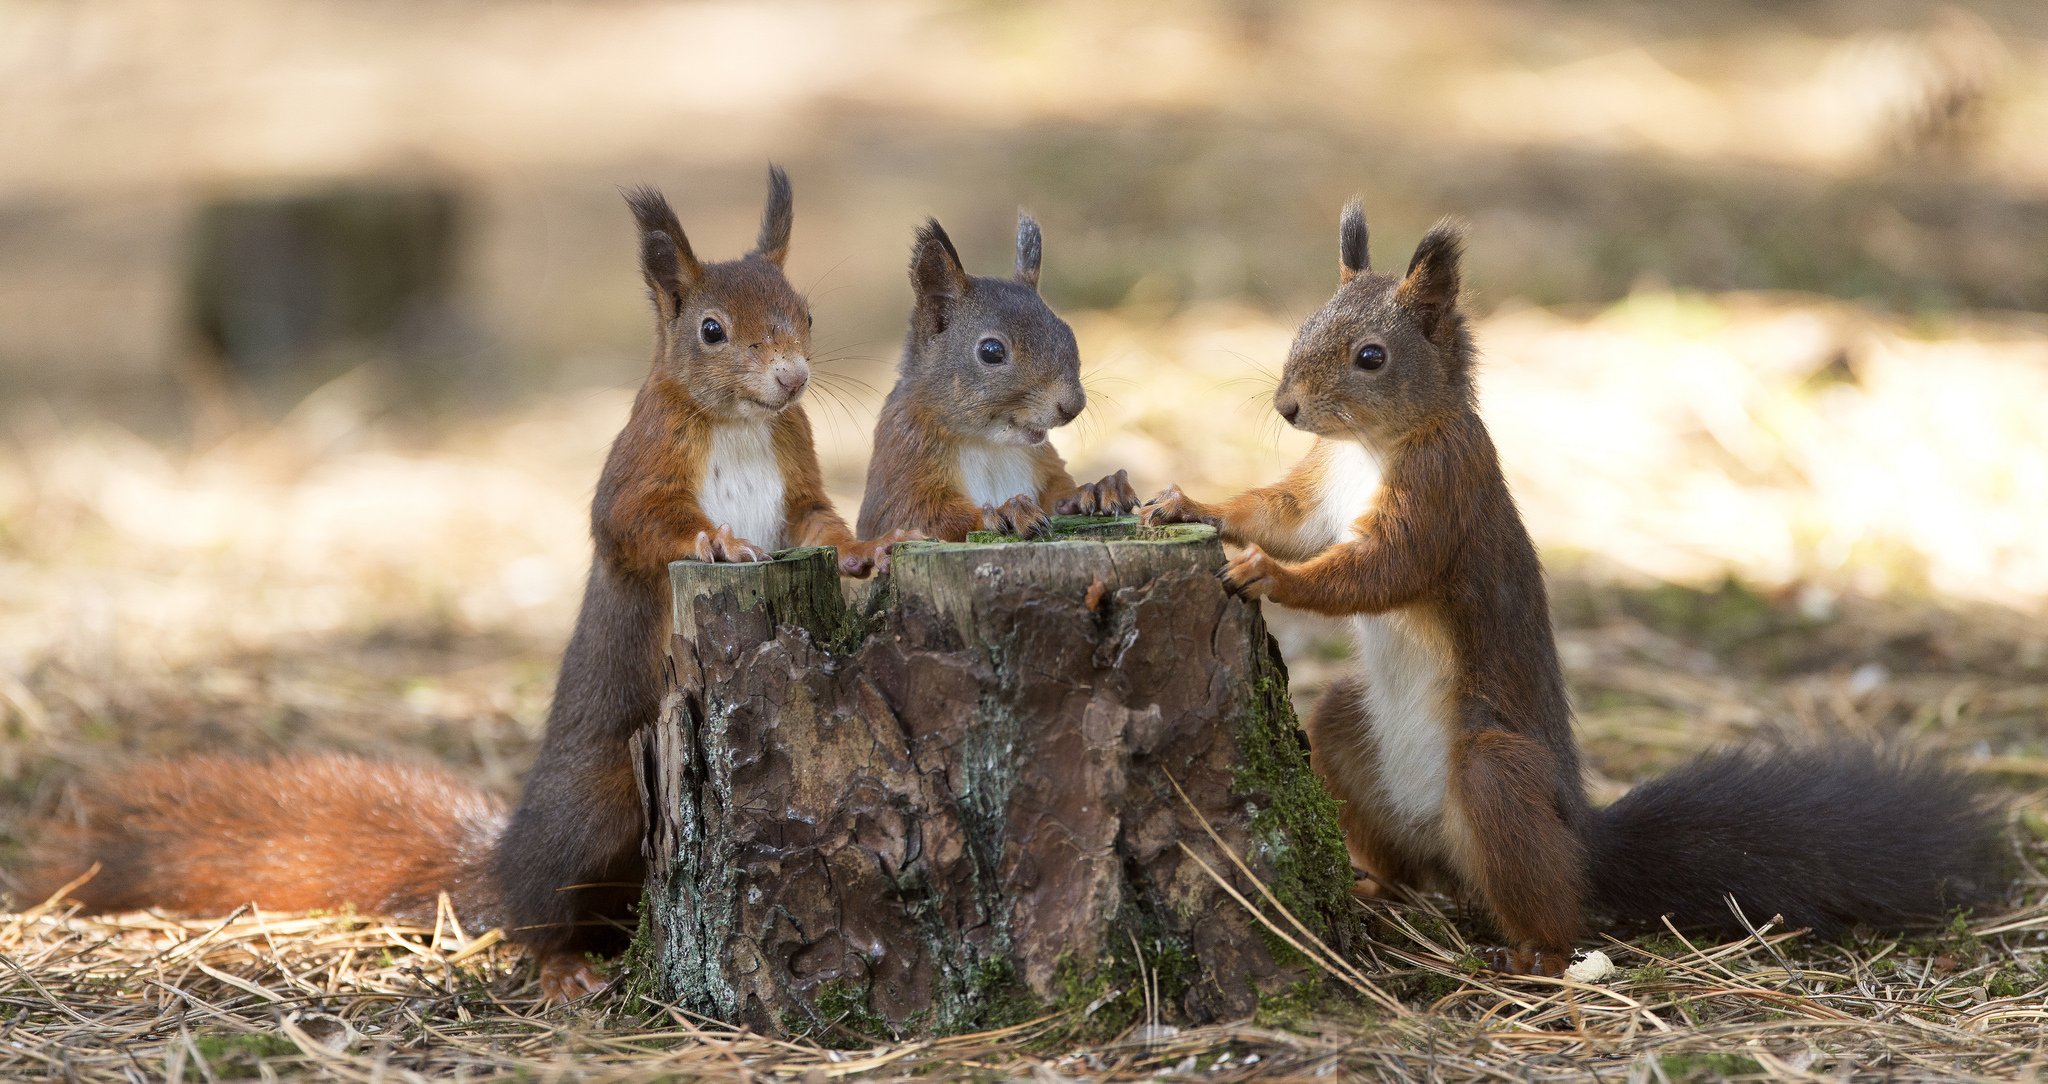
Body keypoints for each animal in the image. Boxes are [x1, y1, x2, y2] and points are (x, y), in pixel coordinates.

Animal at [16, 168, 907, 1002]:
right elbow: (636, 526)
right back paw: (563, 968)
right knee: (536, 916)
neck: (741, 425)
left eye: (806, 314)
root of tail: (502, 858)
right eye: (712, 330)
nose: (792, 379)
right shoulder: (637, 469)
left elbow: (819, 526)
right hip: (594, 811)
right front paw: (717, 541)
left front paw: (869, 550)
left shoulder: (796, 477)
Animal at [857, 214, 1136, 541]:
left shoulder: (1043, 462)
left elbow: (1059, 496)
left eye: (1068, 333)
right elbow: (917, 519)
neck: (988, 444)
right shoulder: (902, 459)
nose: (1072, 406)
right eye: (991, 351)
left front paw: (1097, 490)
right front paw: (1006, 512)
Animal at [1141, 201, 2006, 973]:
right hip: (1350, 731)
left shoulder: (1443, 496)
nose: (1287, 406)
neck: (1371, 448)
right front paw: (1190, 505)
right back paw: (1373, 888)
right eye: (1302, 327)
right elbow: (1278, 514)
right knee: (1404, 854)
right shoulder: (1319, 490)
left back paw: (1535, 953)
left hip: (1496, 776)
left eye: (1372, 357)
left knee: (1553, 901)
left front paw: (1268, 573)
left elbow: (1377, 569)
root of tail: (1584, 843)